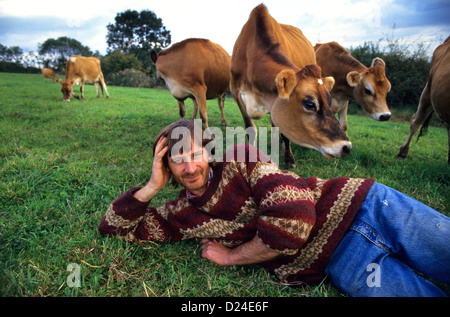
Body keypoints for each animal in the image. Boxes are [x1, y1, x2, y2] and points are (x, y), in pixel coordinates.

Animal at [230, 4, 350, 168]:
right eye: (310, 104)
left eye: (329, 102)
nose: (346, 146)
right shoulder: (236, 92)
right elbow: (251, 129)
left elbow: (282, 132)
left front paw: (289, 159)